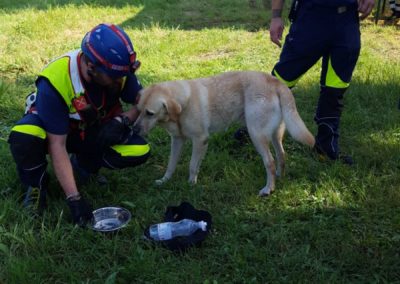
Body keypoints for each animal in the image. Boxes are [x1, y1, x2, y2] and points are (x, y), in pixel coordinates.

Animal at [135, 71, 316, 195]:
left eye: (150, 113)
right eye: (138, 110)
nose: (134, 129)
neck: (183, 103)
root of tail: (276, 82)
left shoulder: (200, 140)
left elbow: (192, 165)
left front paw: (191, 184)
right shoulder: (177, 140)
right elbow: (171, 164)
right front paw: (165, 180)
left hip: (256, 135)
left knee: (269, 162)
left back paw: (268, 189)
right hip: (274, 135)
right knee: (281, 155)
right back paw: (279, 176)